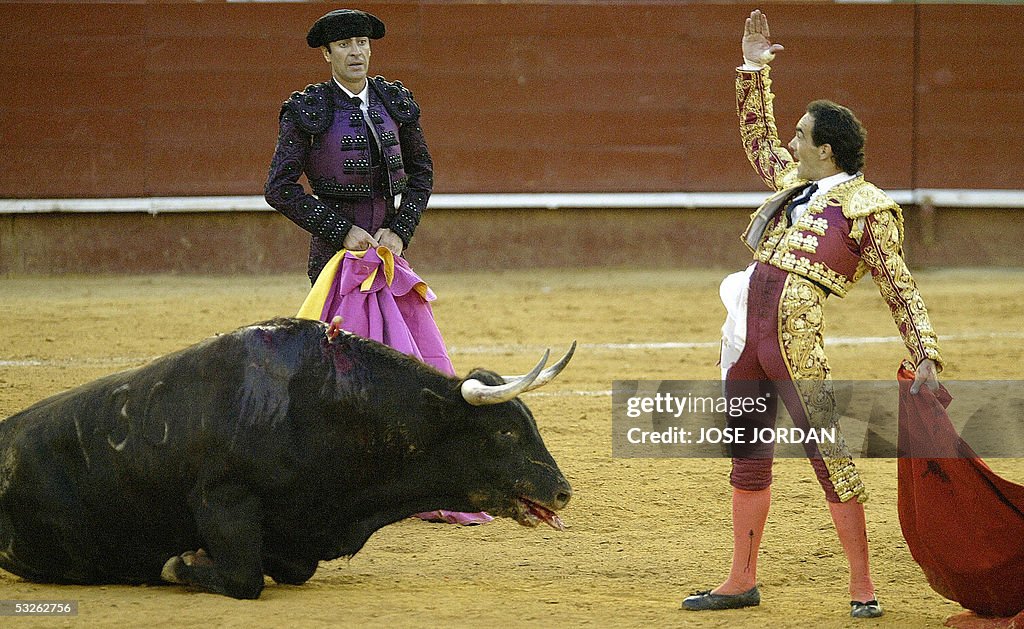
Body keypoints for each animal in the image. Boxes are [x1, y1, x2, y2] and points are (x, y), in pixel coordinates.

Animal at [0, 319, 577, 602]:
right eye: (505, 431)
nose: (562, 491)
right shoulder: (222, 496)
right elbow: (243, 579)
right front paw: (180, 564)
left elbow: (291, 567)